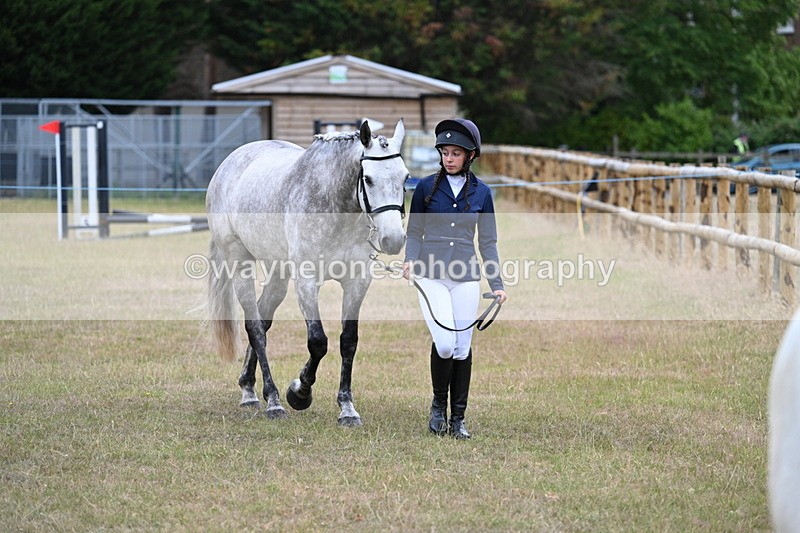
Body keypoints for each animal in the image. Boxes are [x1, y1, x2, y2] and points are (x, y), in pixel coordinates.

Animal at [205, 119, 408, 426]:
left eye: (405, 178)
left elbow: (348, 341)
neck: (334, 205)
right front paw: (299, 392)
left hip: (278, 273)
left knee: (263, 320)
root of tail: (229, 163)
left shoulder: (357, 282)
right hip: (239, 264)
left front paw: (347, 408)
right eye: (369, 179)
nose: (393, 239)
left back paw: (249, 387)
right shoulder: (307, 281)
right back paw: (273, 400)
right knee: (255, 328)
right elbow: (318, 342)